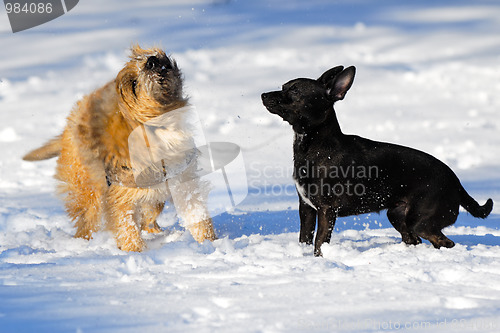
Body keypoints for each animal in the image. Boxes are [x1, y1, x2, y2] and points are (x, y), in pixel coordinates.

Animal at [23, 45, 216, 250]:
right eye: (133, 84)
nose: (152, 61)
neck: (158, 131)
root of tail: (69, 126)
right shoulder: (121, 197)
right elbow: (127, 230)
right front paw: (137, 252)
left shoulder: (183, 185)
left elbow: (198, 219)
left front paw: (210, 244)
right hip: (88, 193)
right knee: (87, 221)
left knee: (149, 217)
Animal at [262, 66, 492, 255]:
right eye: (283, 86)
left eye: (294, 91)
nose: (263, 94)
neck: (313, 146)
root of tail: (457, 183)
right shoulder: (307, 208)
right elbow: (305, 239)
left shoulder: (327, 210)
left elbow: (319, 242)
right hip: (398, 215)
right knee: (416, 239)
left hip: (420, 221)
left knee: (443, 242)